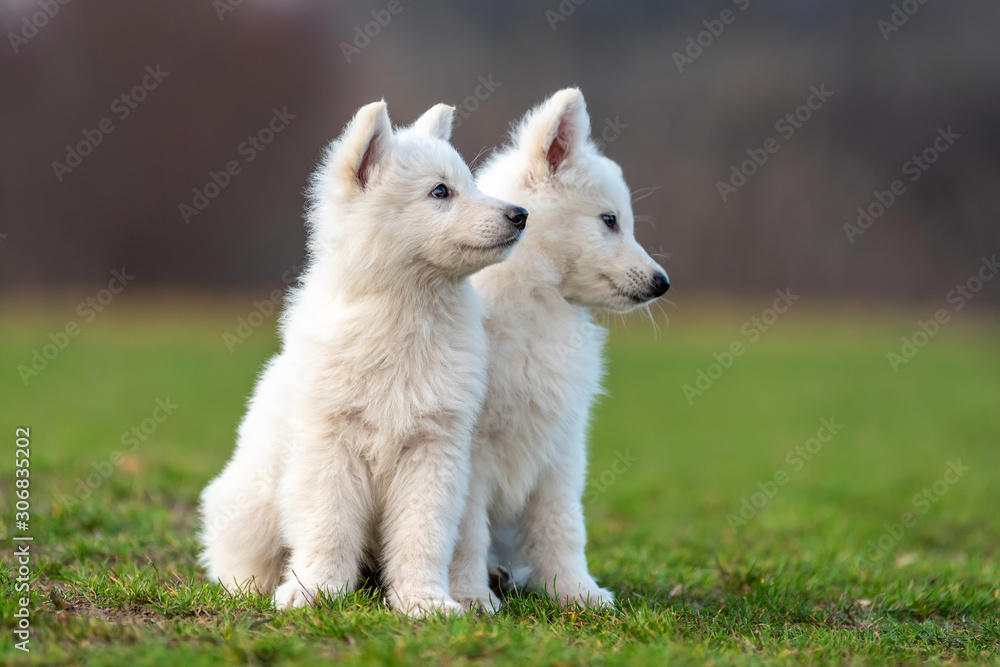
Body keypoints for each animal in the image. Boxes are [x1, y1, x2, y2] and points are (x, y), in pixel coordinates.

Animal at [197, 99, 532, 616]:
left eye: (472, 183)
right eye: (441, 191)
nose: (520, 214)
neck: (406, 314)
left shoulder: (433, 448)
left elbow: (423, 534)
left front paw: (424, 601)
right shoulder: (331, 444)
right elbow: (328, 525)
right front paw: (315, 590)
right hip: (249, 504)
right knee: (240, 558)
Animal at [450, 90, 668, 616]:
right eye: (609, 221)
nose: (663, 283)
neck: (537, 298)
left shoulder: (561, 445)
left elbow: (562, 524)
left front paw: (573, 591)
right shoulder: (468, 449)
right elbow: (465, 532)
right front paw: (470, 598)